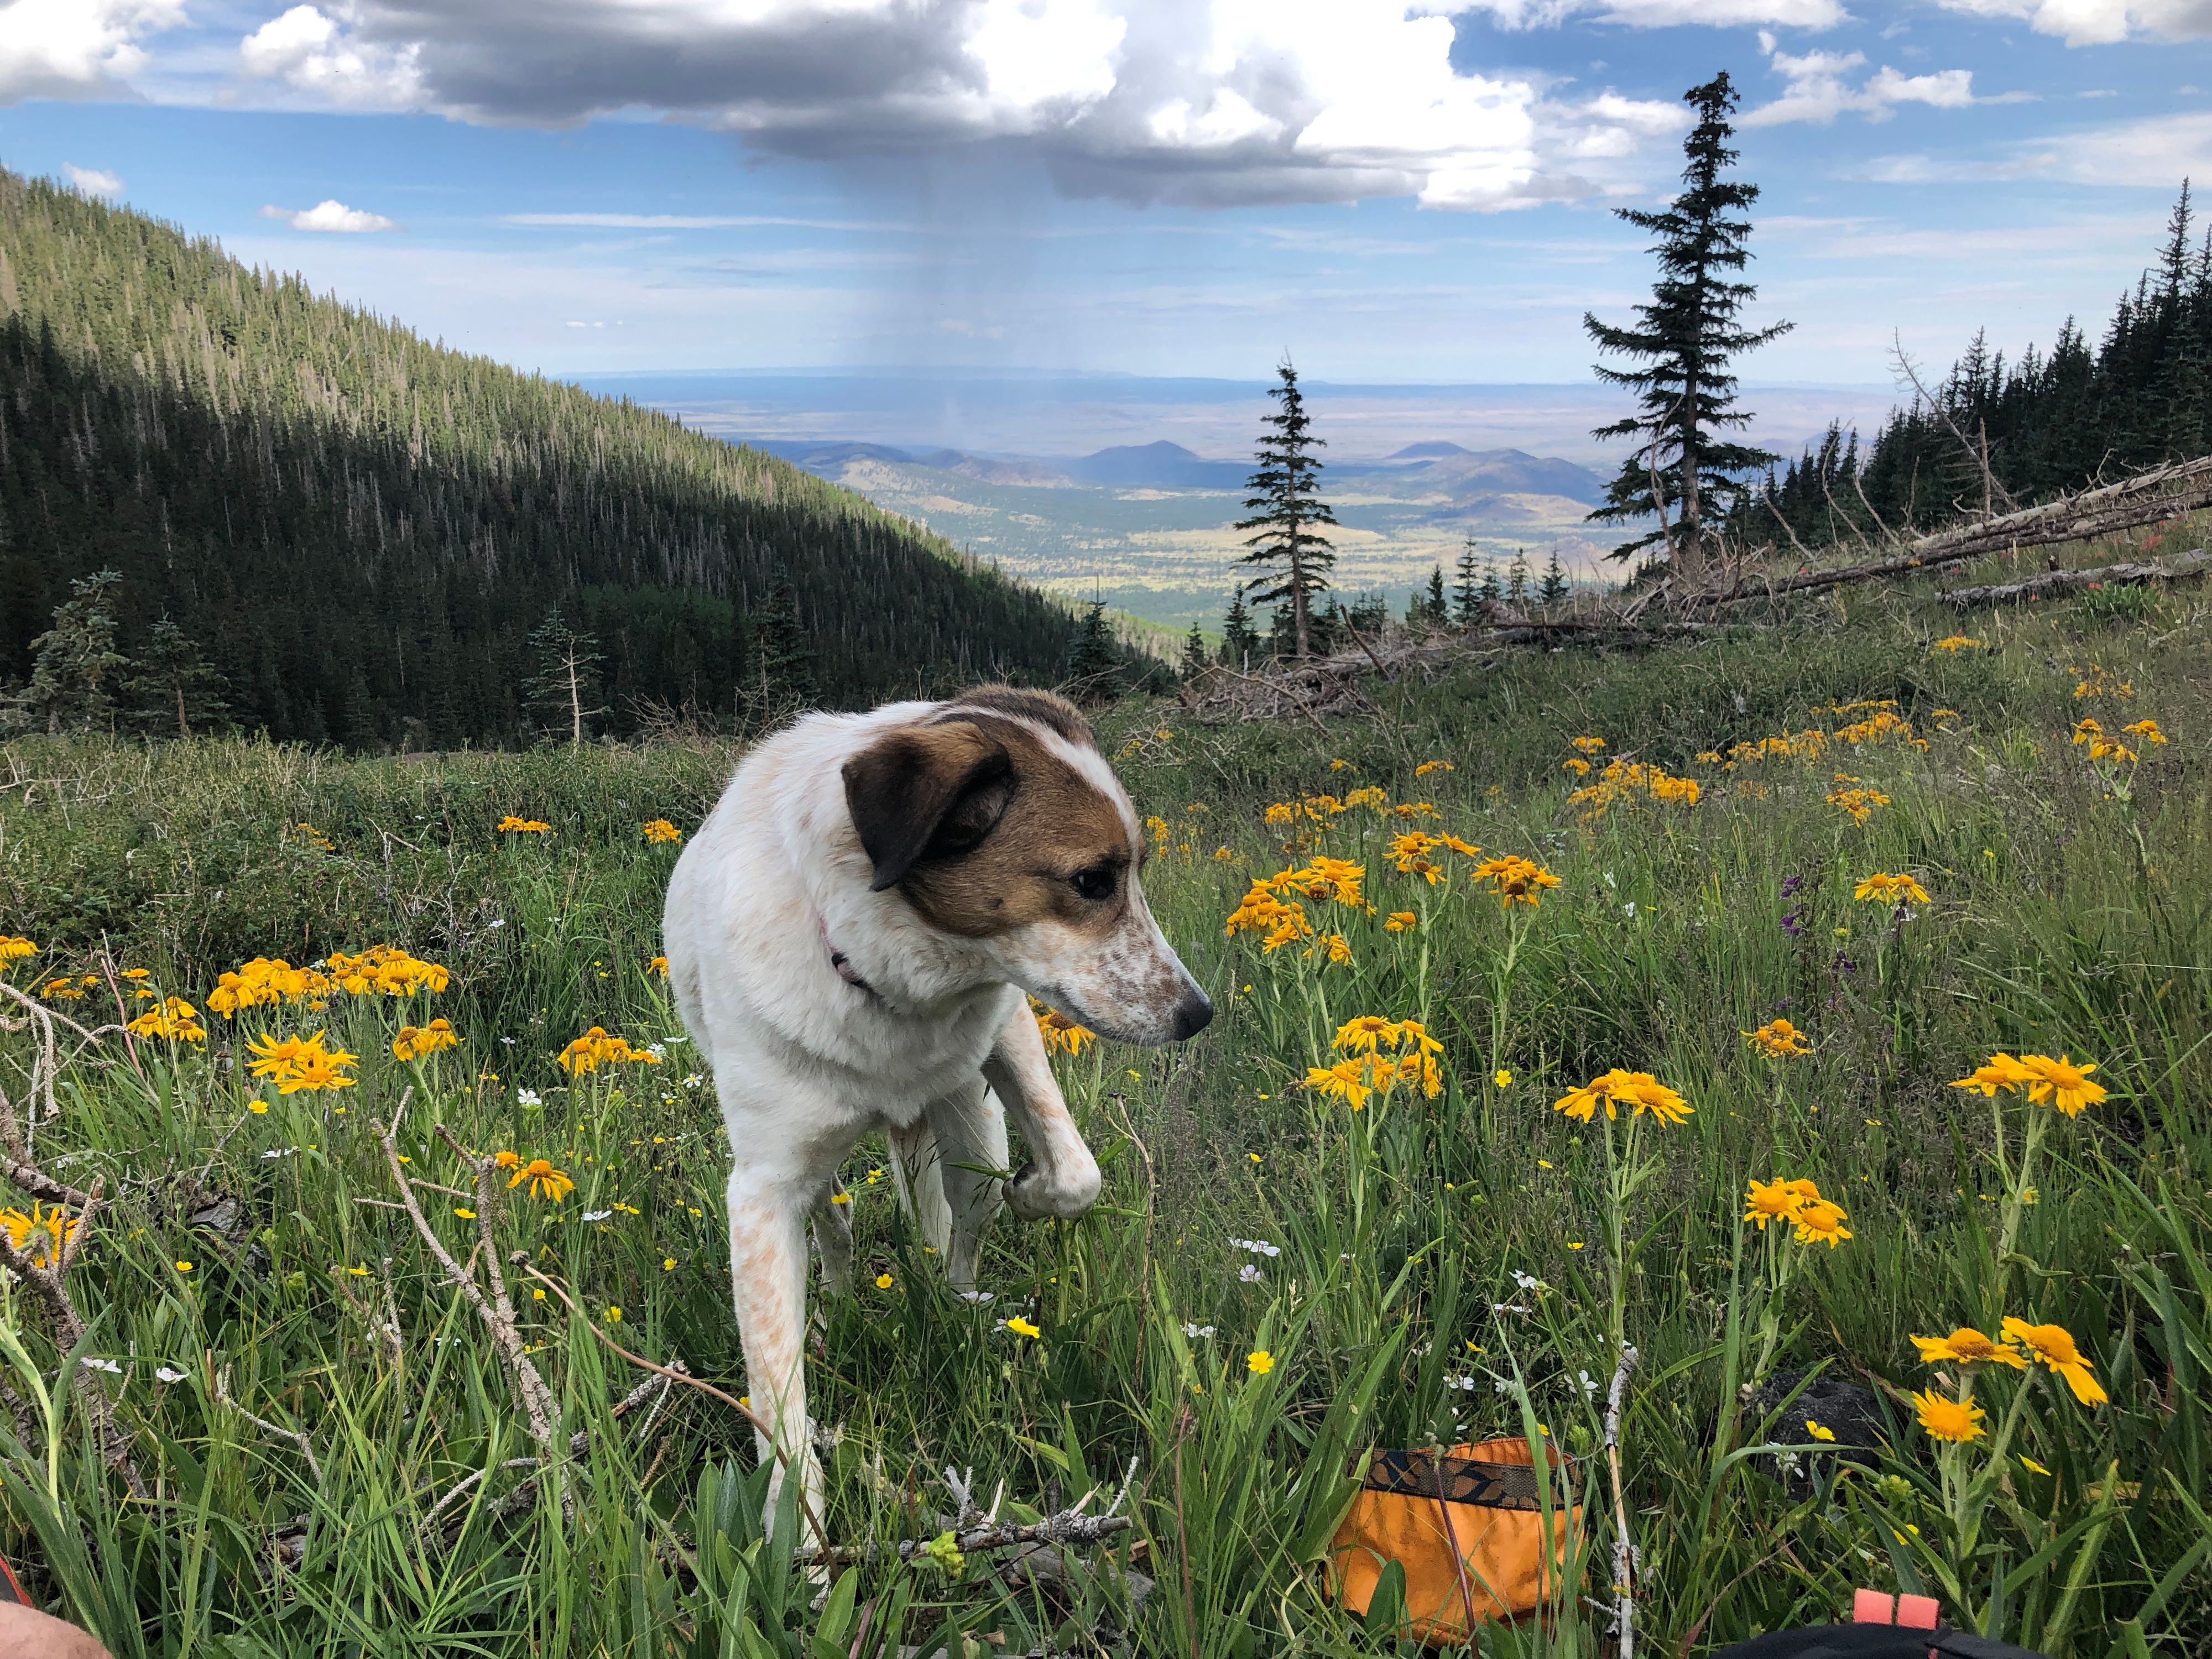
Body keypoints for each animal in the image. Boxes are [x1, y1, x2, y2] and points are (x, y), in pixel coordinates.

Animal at [659, 686, 1212, 1522]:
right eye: (1092, 880)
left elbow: (1075, 1175)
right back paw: (838, 1308)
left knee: (962, 1223)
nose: (1197, 1014)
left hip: (969, 1126)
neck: (885, 977)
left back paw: (962, 1302)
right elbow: (777, 1396)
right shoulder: (762, 1189)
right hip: (824, 1170)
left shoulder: (1007, 1028)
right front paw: (800, 1538)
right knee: (837, 1226)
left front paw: (1031, 1194)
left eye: (1134, 871)